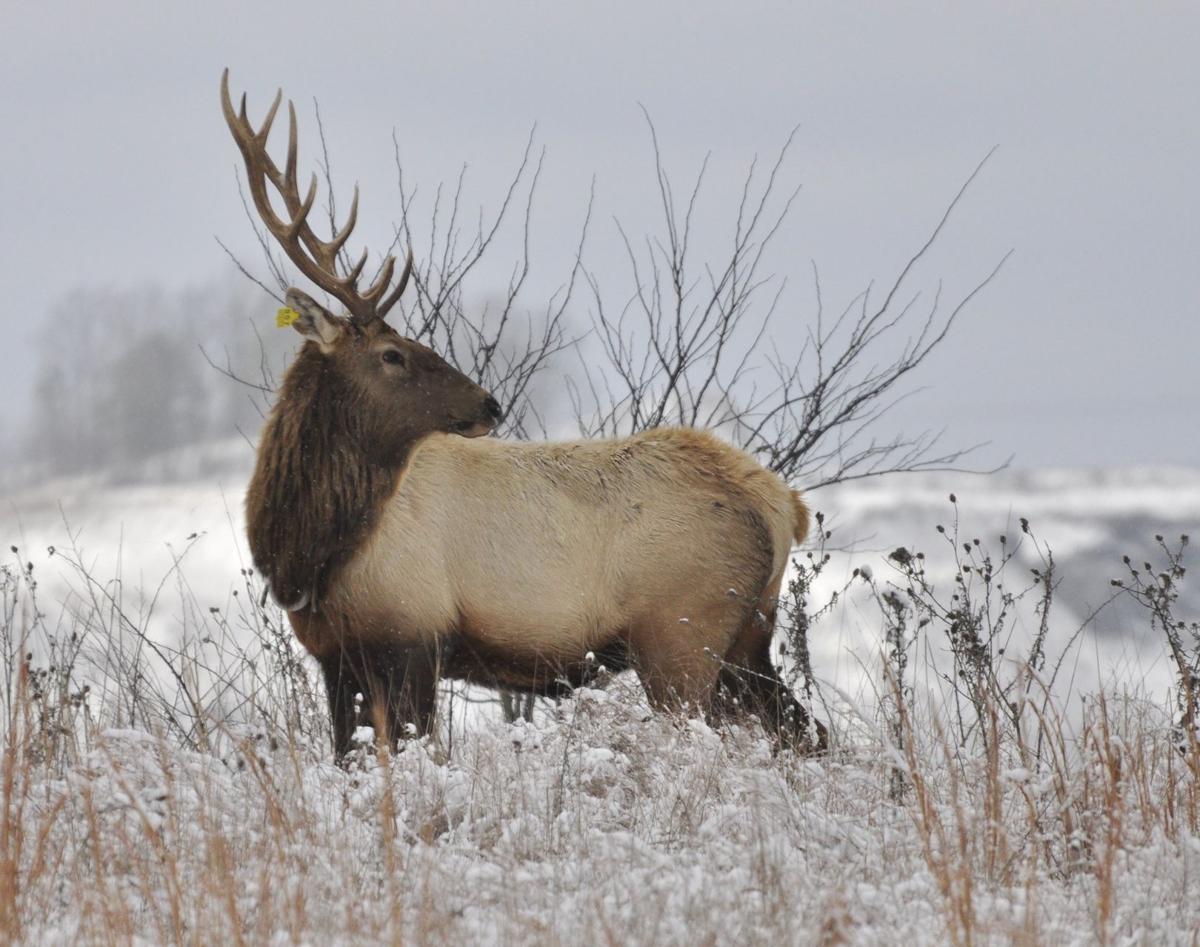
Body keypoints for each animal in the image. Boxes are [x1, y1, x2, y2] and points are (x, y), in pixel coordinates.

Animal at [221, 70, 827, 759]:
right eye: (392, 354)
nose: (490, 402)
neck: (312, 551)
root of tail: (784, 506)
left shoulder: (414, 636)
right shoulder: (335, 655)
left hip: (682, 637)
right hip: (748, 641)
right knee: (809, 733)